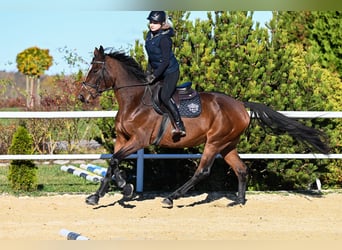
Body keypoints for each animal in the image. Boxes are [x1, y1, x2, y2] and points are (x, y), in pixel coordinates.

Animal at [77, 46, 328, 208]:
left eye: (95, 70)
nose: (82, 96)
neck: (135, 100)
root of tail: (240, 105)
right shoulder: (122, 138)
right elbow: (113, 163)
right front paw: (103, 194)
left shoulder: (139, 140)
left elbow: (114, 161)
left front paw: (123, 189)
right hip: (227, 145)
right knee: (241, 169)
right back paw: (238, 201)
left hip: (214, 142)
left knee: (202, 171)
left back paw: (171, 197)